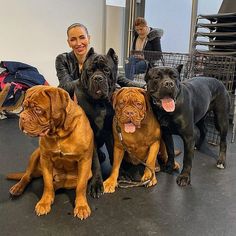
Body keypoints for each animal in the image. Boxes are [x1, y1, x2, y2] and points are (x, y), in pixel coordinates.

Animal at [6, 85, 93, 220]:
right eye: (24, 107)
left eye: (38, 109)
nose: (22, 117)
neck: (59, 133)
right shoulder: (45, 159)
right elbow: (47, 183)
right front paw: (44, 202)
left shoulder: (85, 161)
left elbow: (81, 186)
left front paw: (81, 206)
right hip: (35, 155)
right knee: (27, 175)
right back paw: (18, 187)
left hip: (87, 173)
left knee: (62, 183)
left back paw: (56, 186)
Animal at [74, 47, 117, 196]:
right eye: (90, 71)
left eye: (106, 70)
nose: (98, 78)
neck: (100, 103)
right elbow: (95, 162)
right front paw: (97, 184)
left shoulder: (109, 131)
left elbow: (113, 152)